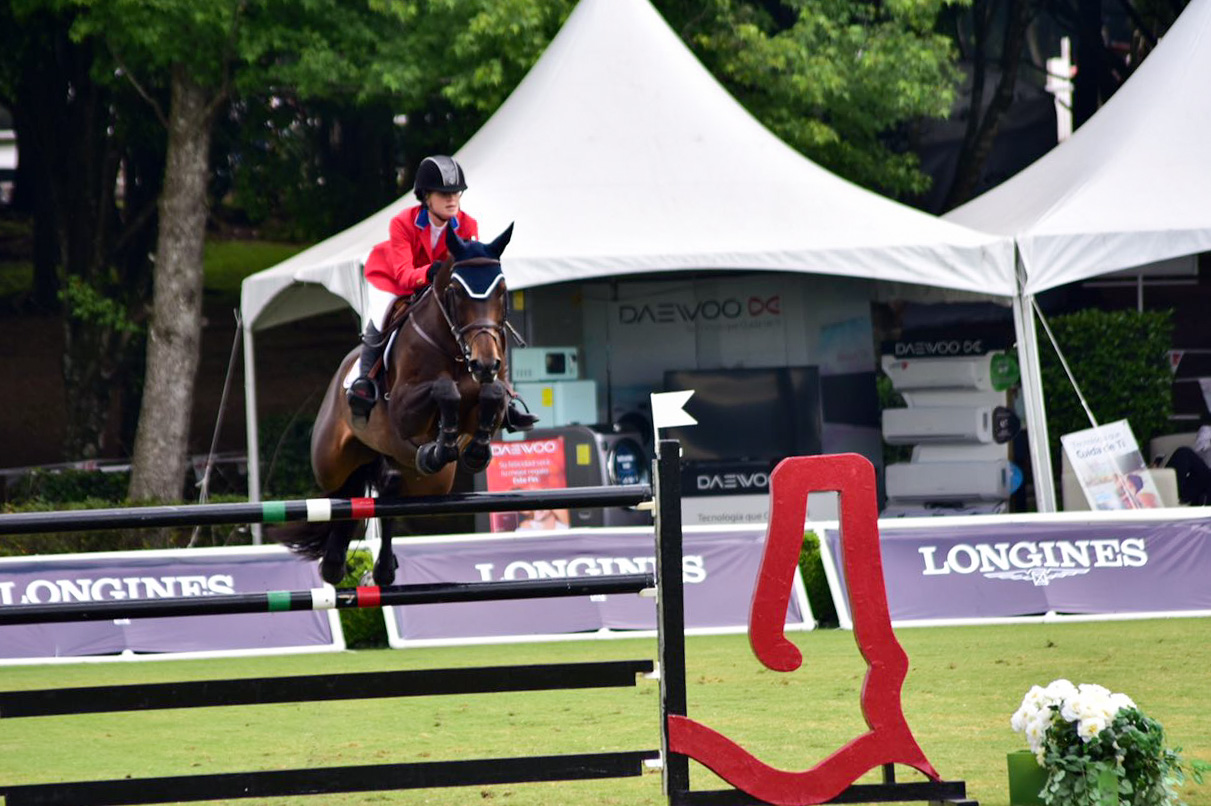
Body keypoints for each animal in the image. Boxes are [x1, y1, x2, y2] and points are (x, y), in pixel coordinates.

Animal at [285, 223, 518, 583]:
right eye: (456, 291)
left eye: (502, 291)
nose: (483, 363)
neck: (455, 349)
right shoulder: (403, 408)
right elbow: (445, 390)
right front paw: (444, 442)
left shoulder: (494, 389)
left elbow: (491, 394)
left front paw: (475, 451)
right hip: (330, 461)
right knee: (343, 493)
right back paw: (335, 564)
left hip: (427, 479)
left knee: (388, 491)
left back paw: (376, 568)